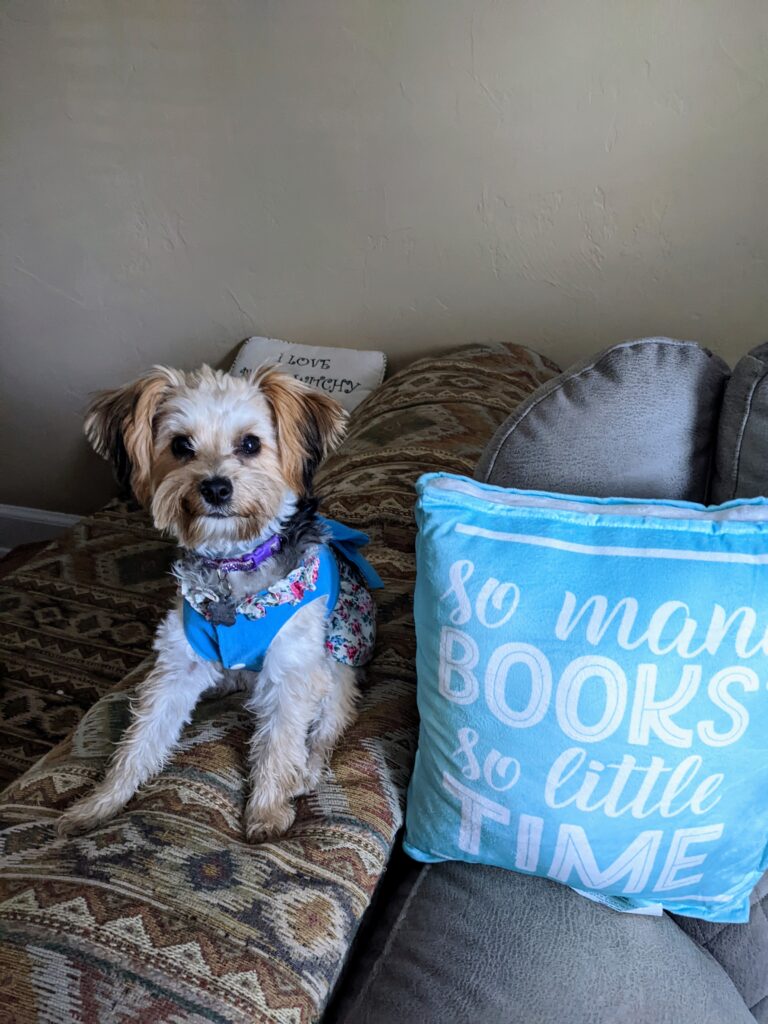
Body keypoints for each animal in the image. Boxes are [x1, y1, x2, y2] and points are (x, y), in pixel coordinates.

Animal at [58, 366, 382, 839]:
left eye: (249, 444)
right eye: (180, 445)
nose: (214, 487)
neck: (233, 562)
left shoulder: (291, 671)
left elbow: (280, 742)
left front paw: (267, 812)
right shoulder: (178, 667)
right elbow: (140, 740)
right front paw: (100, 804)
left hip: (338, 665)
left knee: (324, 731)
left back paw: (305, 772)